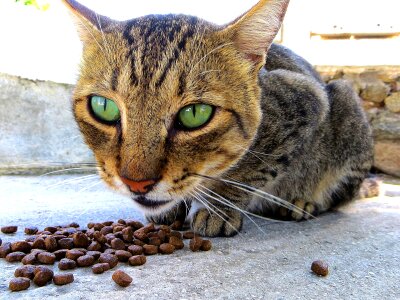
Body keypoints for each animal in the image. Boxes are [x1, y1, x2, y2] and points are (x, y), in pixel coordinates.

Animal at [61, 0, 372, 237]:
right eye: (103, 107)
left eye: (195, 114)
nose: (136, 184)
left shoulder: (306, 103)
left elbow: (248, 172)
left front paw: (217, 209)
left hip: (345, 103)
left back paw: (302, 202)